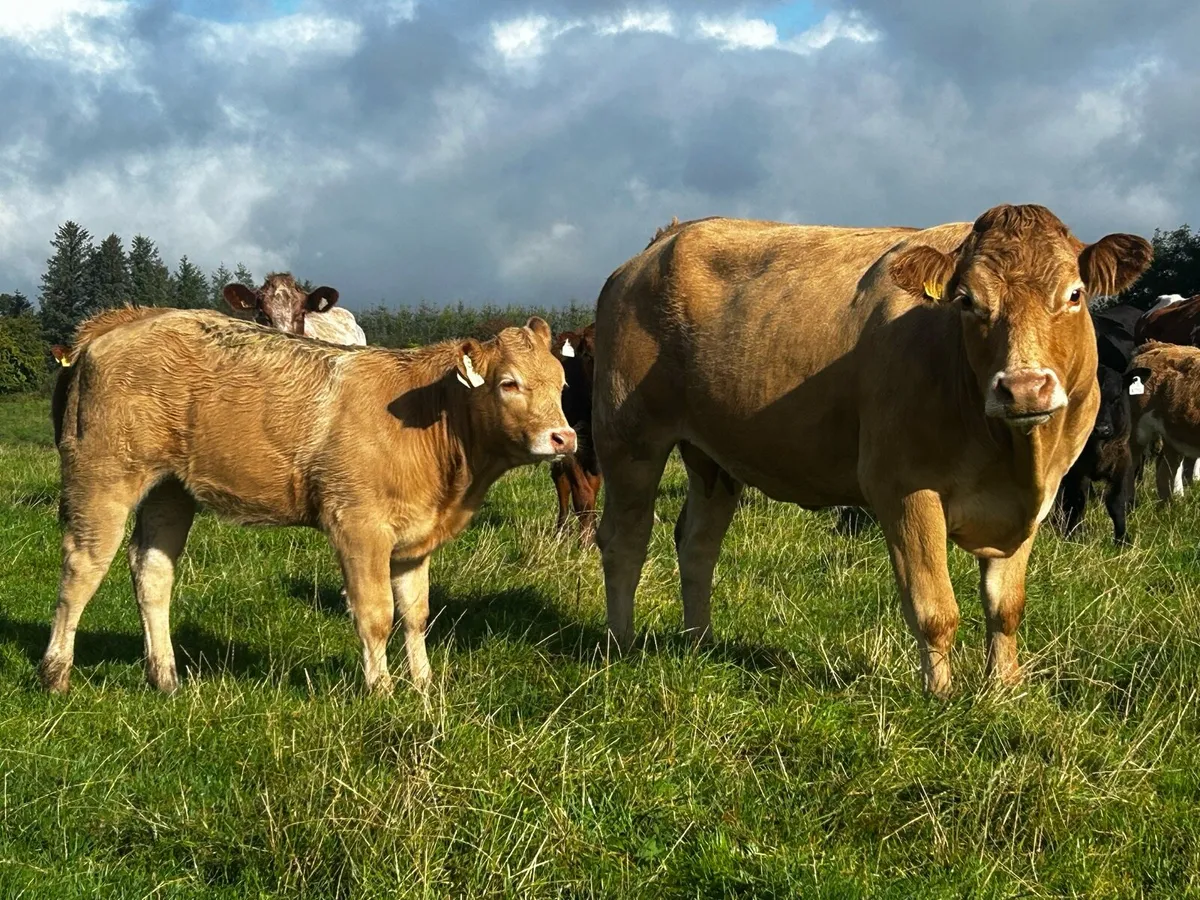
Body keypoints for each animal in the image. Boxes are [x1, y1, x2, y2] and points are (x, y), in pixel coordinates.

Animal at [40, 307, 574, 696]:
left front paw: (423, 686)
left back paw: (165, 677)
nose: (564, 438)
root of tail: (127, 320)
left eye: (563, 384)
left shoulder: (414, 539)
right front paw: (382, 691)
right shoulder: (358, 525)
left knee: (152, 571)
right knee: (81, 568)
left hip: (169, 490)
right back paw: (56, 674)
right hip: (102, 478)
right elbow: (376, 614)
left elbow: (416, 615)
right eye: (508, 383)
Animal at [592, 204, 1152, 697]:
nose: (1023, 388)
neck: (1013, 455)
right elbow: (934, 608)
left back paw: (700, 643)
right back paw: (620, 644)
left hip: (713, 456)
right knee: (625, 541)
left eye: (1075, 294)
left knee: (697, 544)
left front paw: (1005, 687)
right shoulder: (903, 487)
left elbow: (1005, 605)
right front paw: (941, 695)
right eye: (966, 300)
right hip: (628, 440)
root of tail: (663, 241)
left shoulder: (1038, 498)